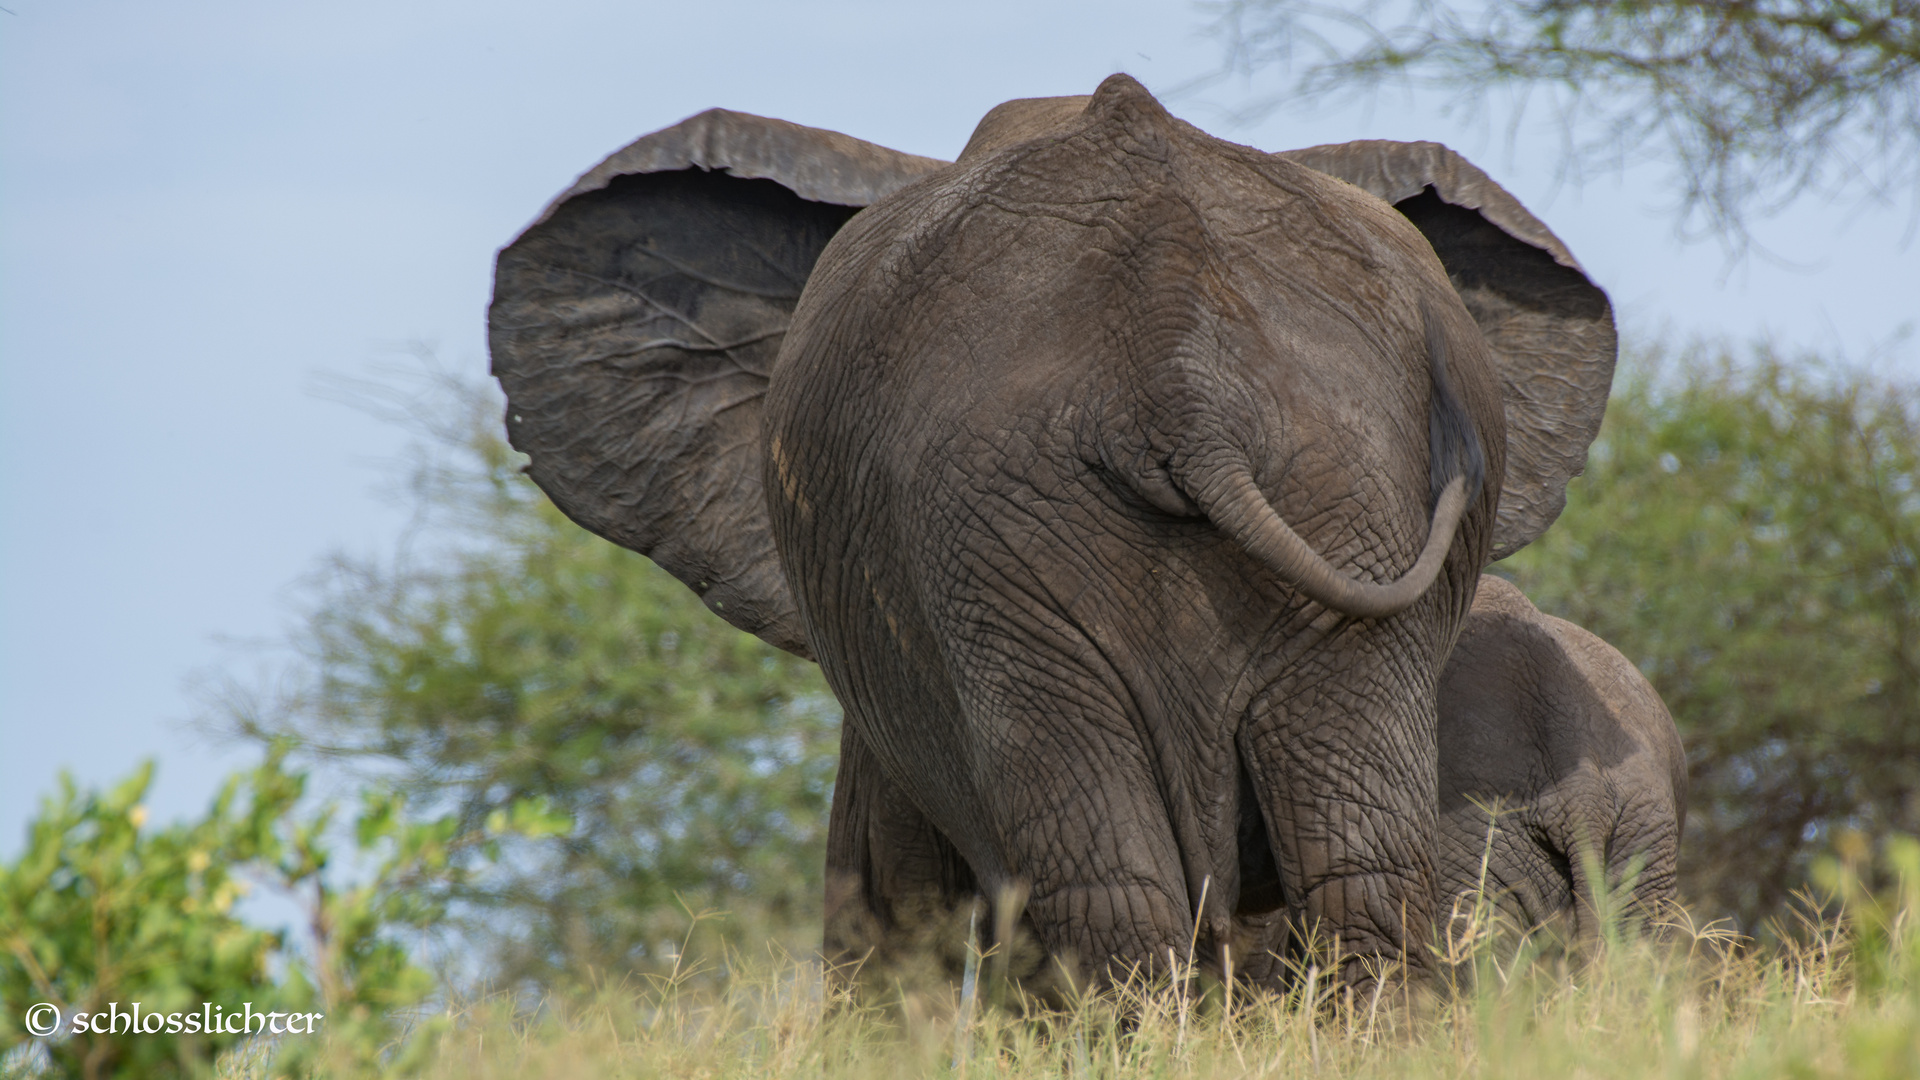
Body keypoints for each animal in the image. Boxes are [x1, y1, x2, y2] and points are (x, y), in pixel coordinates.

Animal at [487, 73, 1612, 983]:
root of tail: (1175, 348)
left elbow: (889, 902)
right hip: (1298, 489)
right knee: (1353, 868)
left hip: (1006, 532)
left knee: (1104, 885)